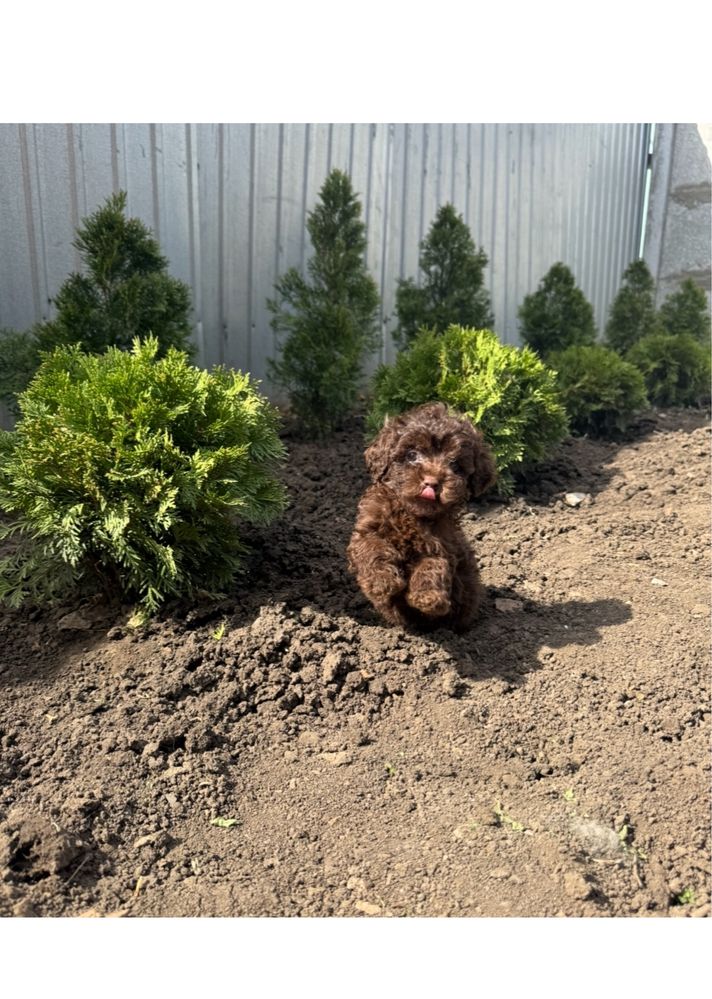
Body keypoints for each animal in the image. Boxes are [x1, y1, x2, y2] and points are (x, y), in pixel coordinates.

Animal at [350, 400, 496, 628]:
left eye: (455, 465)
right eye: (412, 455)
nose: (432, 482)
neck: (412, 515)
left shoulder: (443, 545)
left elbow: (434, 565)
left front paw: (428, 597)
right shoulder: (367, 529)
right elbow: (372, 547)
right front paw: (381, 580)